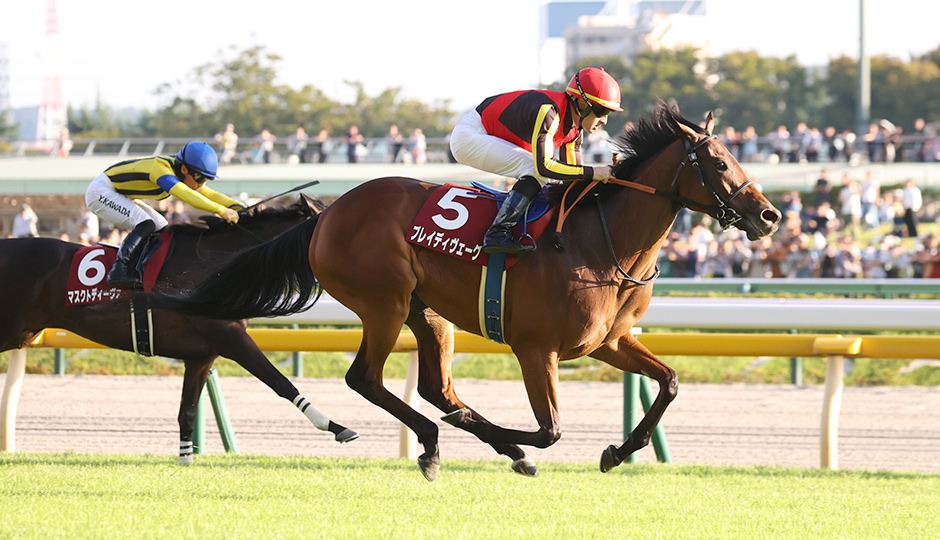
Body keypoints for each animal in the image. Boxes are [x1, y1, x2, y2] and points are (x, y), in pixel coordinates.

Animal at [0, 195, 358, 463]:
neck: (213, 264)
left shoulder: (201, 356)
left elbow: (187, 412)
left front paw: (186, 460)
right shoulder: (231, 338)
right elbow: (280, 382)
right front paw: (336, 426)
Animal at [151, 103, 781, 480]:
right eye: (718, 161)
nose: (770, 216)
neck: (604, 244)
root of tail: (327, 213)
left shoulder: (608, 341)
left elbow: (669, 382)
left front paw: (616, 452)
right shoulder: (535, 348)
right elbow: (550, 430)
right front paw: (518, 446)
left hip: (427, 311)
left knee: (436, 387)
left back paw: (445, 439)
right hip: (384, 301)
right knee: (367, 379)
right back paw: (444, 441)